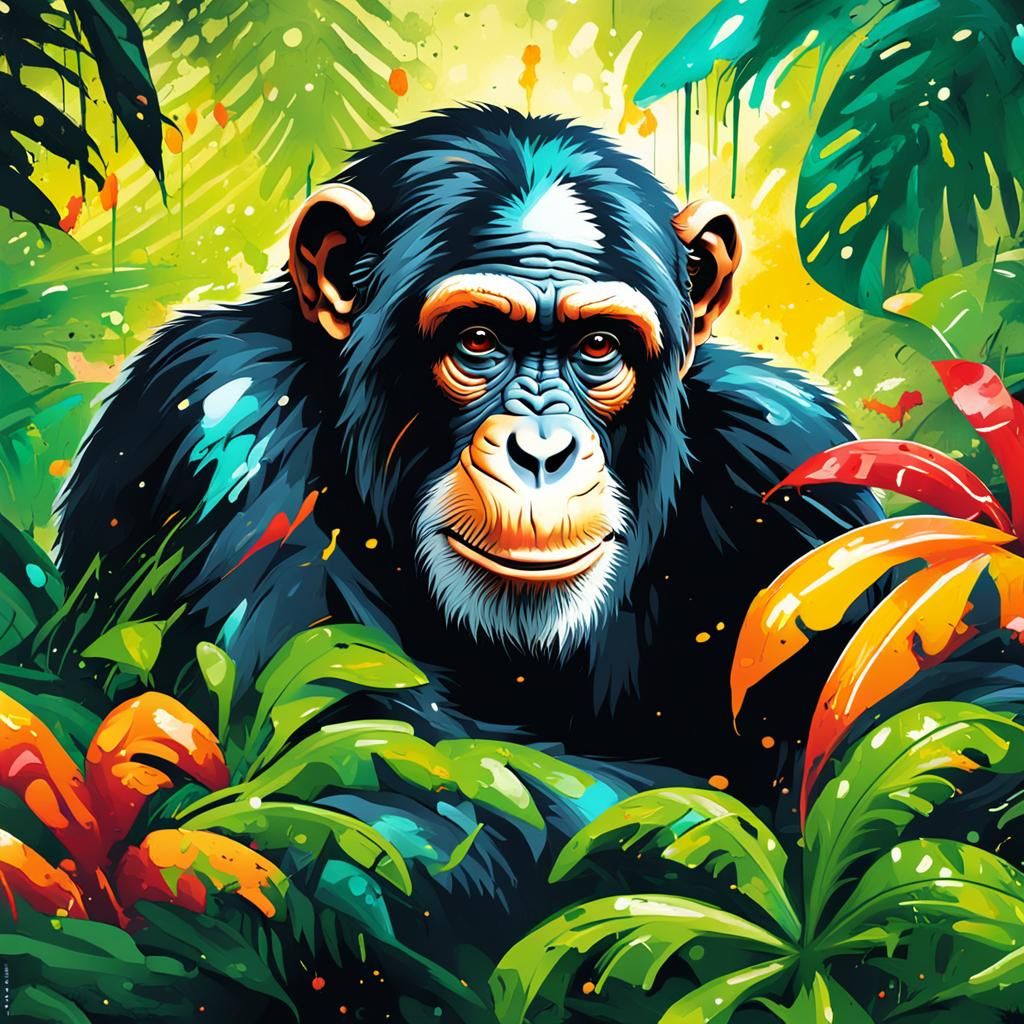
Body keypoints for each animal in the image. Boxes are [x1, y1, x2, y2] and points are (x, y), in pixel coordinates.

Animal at [54, 106, 881, 810]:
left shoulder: (799, 468)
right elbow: (342, 745)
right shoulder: (218, 419)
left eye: (598, 346)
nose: (542, 452)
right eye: (477, 340)